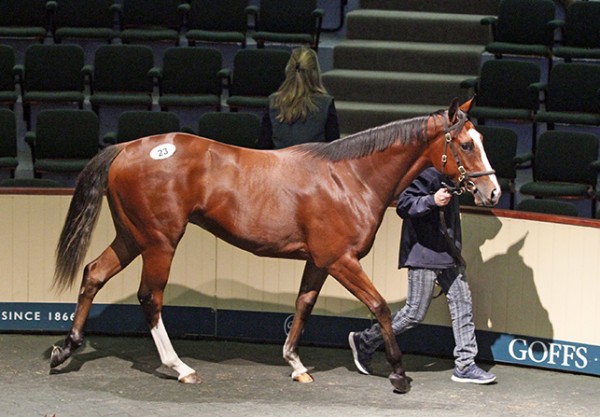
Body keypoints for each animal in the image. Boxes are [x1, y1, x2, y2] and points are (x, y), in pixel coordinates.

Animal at [49, 98, 500, 394]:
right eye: (465, 144)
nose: (492, 192)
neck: (350, 177)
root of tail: (126, 148)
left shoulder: (319, 261)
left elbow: (303, 305)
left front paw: (296, 364)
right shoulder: (342, 260)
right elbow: (379, 307)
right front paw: (399, 374)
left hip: (132, 237)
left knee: (94, 274)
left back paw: (66, 348)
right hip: (160, 242)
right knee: (150, 297)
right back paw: (179, 367)